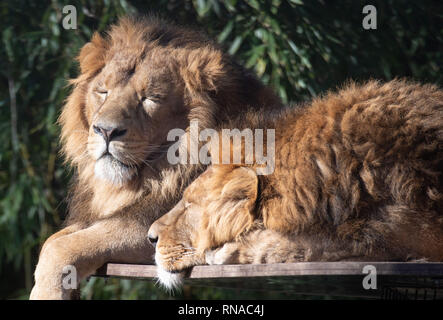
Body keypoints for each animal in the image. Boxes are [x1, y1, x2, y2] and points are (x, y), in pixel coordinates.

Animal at [29, 16, 282, 300]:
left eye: (150, 98)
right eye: (103, 92)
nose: (105, 131)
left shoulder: (158, 225)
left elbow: (61, 248)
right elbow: (52, 241)